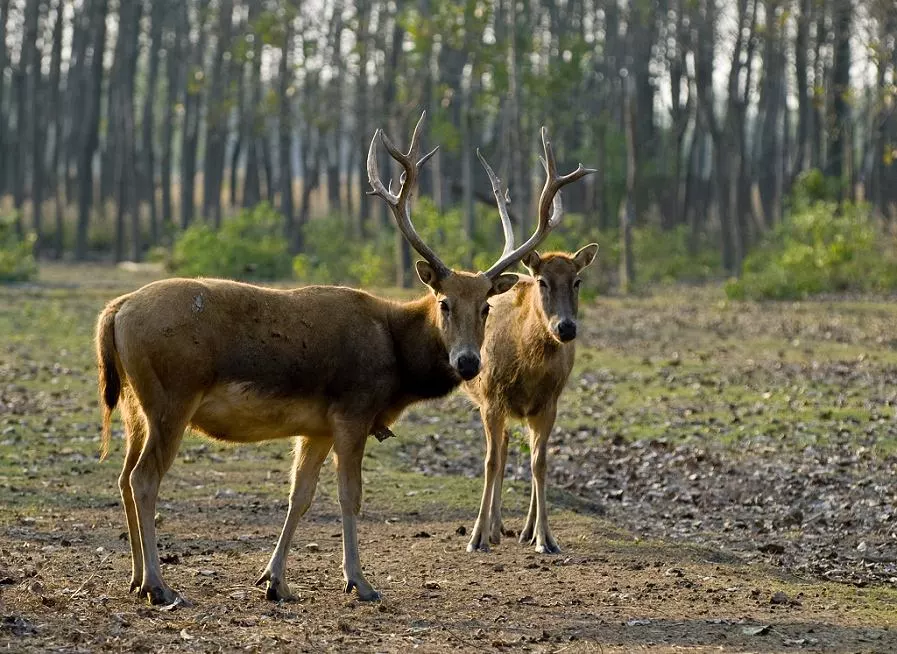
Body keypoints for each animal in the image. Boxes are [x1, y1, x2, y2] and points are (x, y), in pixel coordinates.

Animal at [93, 114, 532, 608]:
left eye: (486, 307)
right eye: (444, 302)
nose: (469, 362)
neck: (395, 363)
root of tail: (117, 310)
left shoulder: (316, 427)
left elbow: (299, 496)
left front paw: (274, 580)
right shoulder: (352, 411)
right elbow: (349, 496)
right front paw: (359, 581)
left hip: (135, 405)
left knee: (123, 477)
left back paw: (135, 578)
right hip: (172, 398)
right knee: (144, 479)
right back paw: (157, 583)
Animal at [466, 136, 600, 556]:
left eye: (578, 281)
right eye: (542, 281)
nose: (566, 327)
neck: (527, 367)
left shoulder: (548, 403)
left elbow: (540, 462)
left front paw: (546, 538)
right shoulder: (491, 397)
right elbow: (491, 462)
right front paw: (476, 537)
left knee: (520, 449)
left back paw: (521, 530)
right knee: (501, 450)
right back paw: (493, 529)